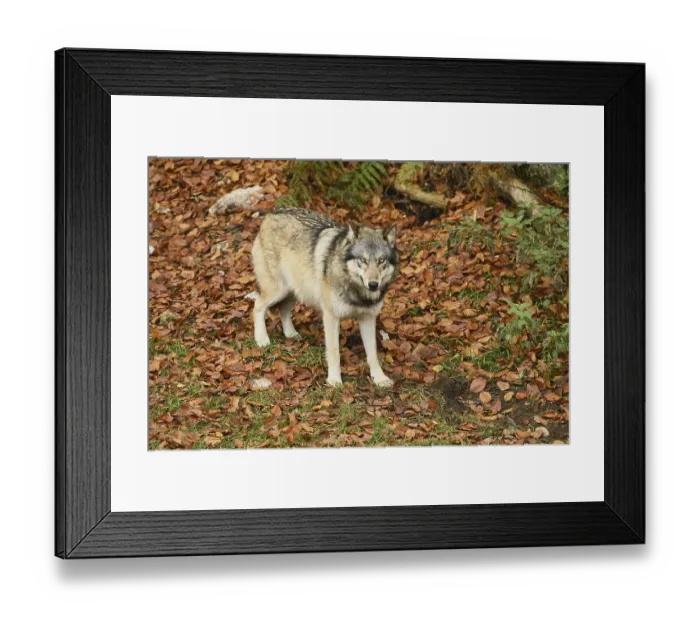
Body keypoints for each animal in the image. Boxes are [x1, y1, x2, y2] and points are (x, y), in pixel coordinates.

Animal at [251, 208, 399, 387]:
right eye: (363, 260)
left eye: (381, 260)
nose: (373, 284)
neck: (355, 290)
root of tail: (270, 214)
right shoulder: (331, 317)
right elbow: (334, 353)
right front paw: (334, 380)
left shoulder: (368, 318)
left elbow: (373, 354)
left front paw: (380, 378)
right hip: (278, 290)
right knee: (257, 305)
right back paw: (262, 339)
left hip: (295, 291)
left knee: (283, 309)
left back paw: (291, 334)